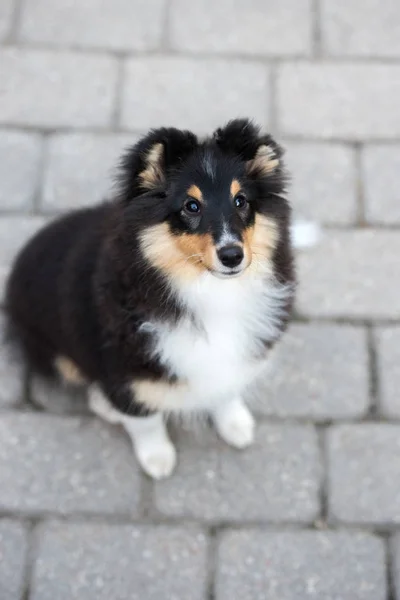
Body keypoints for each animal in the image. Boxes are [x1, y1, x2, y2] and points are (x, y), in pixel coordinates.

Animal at [4, 119, 296, 480]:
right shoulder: (126, 368)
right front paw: (158, 459)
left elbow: (226, 385)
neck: (207, 289)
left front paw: (235, 425)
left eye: (241, 200)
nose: (232, 255)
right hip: (59, 354)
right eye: (191, 206)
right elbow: (145, 420)